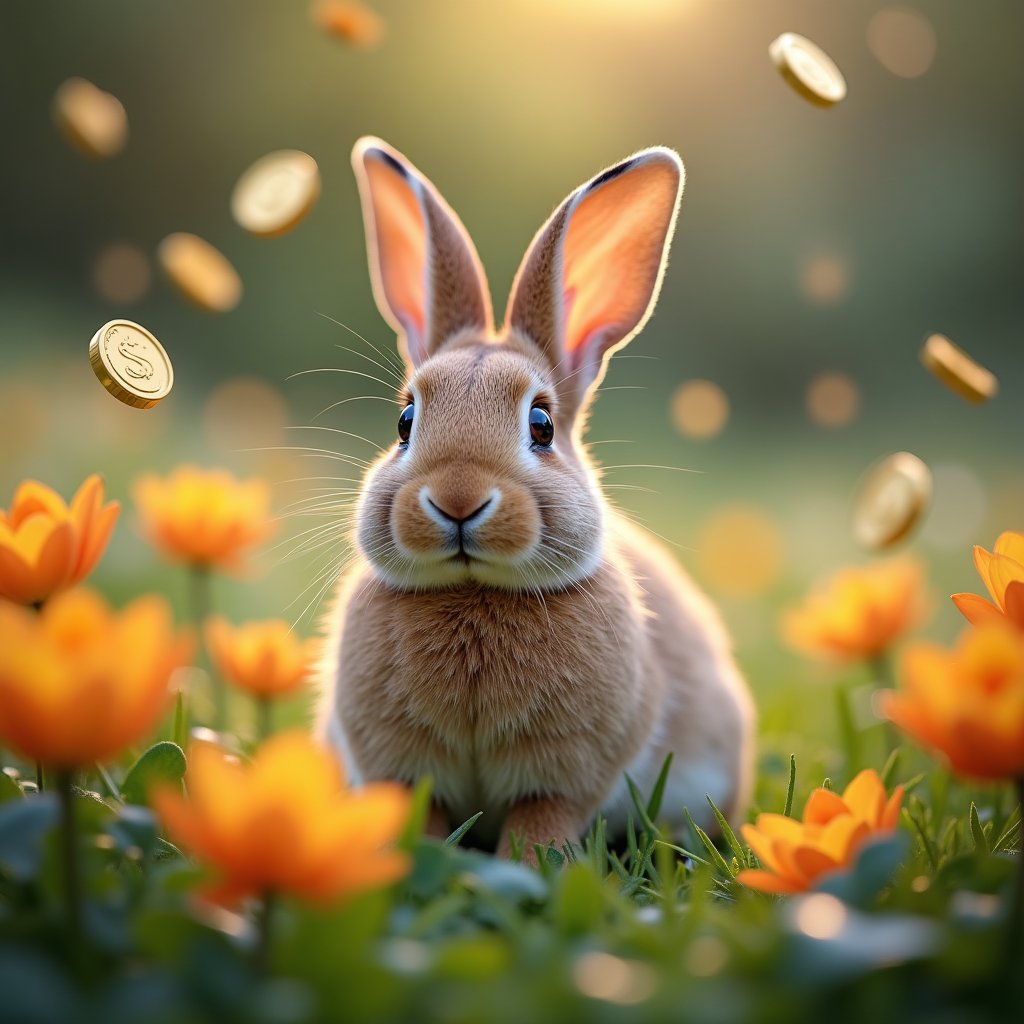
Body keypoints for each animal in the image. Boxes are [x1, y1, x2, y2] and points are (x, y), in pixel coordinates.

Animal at [316, 136, 755, 858]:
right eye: (405, 422)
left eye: (542, 424)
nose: (457, 499)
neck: (474, 591)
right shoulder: (403, 769)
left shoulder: (567, 775)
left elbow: (541, 819)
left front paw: (534, 861)